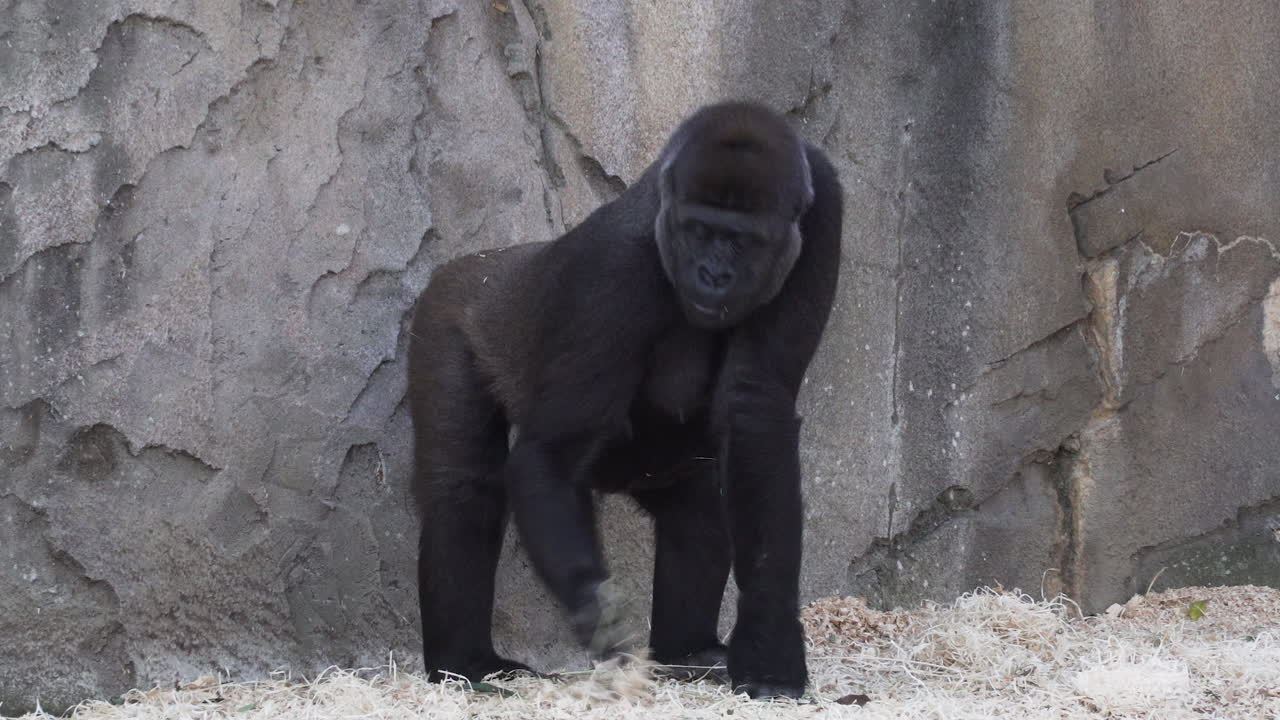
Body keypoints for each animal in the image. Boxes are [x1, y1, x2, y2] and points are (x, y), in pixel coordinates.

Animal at [407, 101, 842, 699]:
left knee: (698, 507)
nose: (713, 274)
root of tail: (486, 260)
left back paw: (688, 649)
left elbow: (756, 412)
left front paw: (768, 641)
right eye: (699, 230)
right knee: (464, 489)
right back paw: (465, 661)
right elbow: (549, 456)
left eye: (744, 240)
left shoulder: (824, 208)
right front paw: (597, 610)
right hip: (449, 311)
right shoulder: (613, 267)